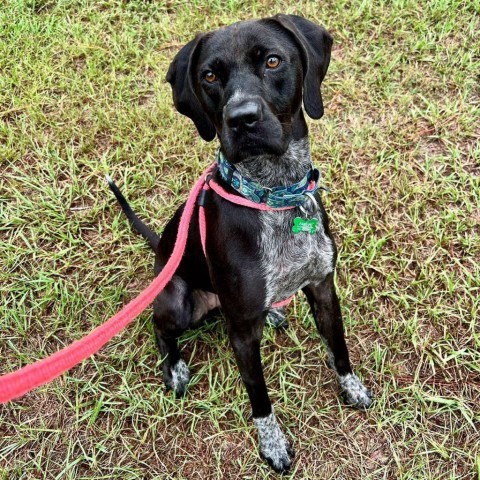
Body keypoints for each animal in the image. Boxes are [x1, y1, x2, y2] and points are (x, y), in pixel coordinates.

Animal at [107, 14, 374, 472]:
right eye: (210, 76)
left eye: (272, 61)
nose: (242, 118)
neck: (273, 194)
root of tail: (161, 251)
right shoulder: (244, 339)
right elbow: (259, 397)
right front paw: (273, 445)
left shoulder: (323, 288)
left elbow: (339, 349)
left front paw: (351, 387)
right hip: (179, 303)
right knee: (159, 326)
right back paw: (174, 368)